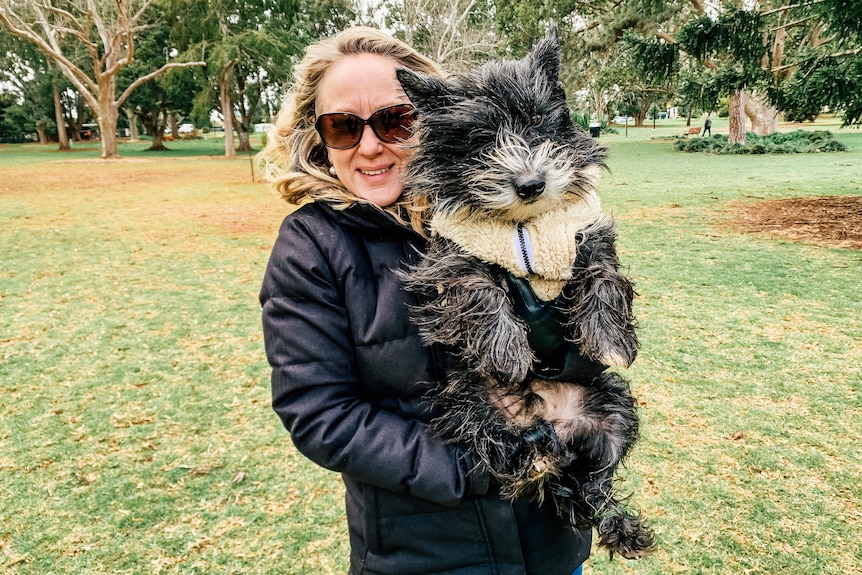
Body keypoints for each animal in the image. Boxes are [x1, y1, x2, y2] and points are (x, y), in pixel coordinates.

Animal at [398, 27, 656, 560]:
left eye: (537, 120)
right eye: (479, 138)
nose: (531, 184)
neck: (524, 227)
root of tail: (554, 427)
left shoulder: (585, 232)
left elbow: (603, 275)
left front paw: (610, 338)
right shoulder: (450, 255)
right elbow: (478, 289)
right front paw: (507, 350)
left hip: (614, 409)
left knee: (596, 482)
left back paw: (621, 524)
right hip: (471, 408)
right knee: (515, 458)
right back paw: (534, 455)